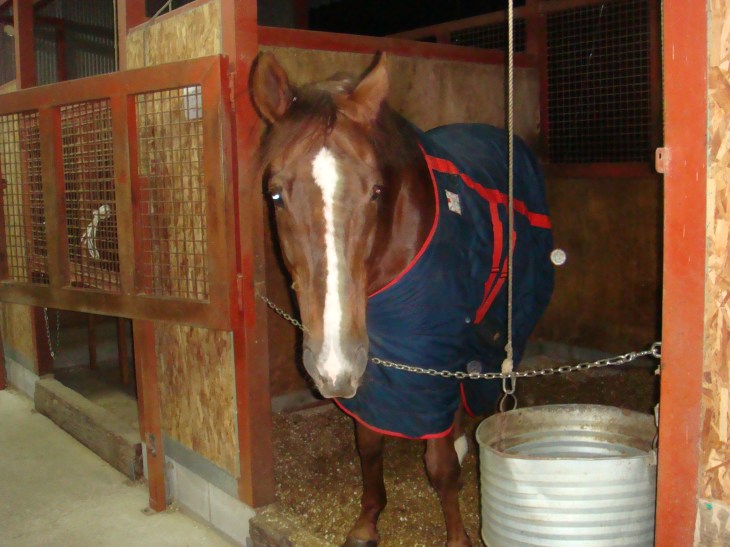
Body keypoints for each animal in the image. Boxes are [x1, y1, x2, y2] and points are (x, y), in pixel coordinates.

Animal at [250, 52, 554, 547]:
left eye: (376, 191)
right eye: (274, 193)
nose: (330, 367)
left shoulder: (430, 355)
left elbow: (440, 466)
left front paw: (457, 538)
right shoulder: (375, 366)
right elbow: (369, 446)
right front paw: (367, 522)